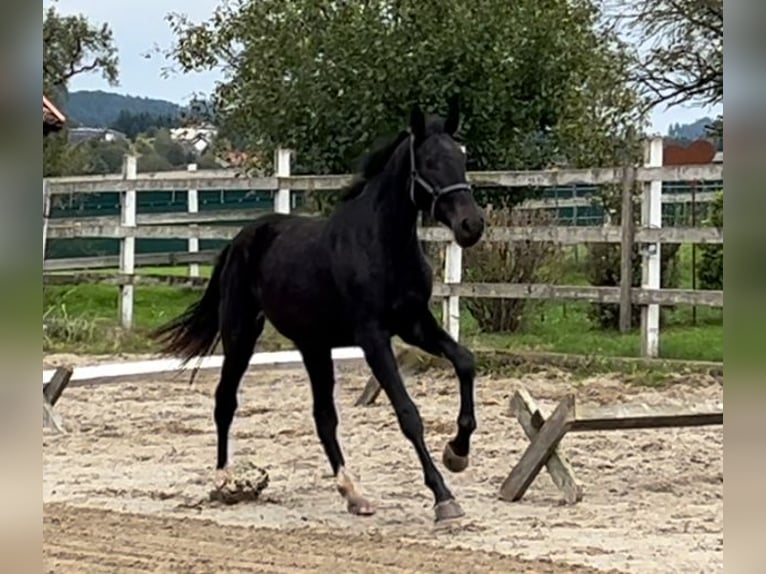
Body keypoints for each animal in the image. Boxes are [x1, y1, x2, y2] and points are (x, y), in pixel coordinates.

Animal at [154, 98, 488, 520]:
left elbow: (465, 361)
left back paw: (353, 493)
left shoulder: (414, 324)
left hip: (314, 346)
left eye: (462, 157)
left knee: (323, 417)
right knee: (225, 400)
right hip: (241, 335)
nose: (471, 225)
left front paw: (457, 452)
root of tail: (242, 238)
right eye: (428, 161)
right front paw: (444, 497)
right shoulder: (372, 335)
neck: (383, 244)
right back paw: (225, 482)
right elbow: (408, 413)